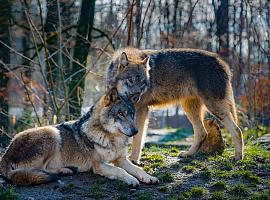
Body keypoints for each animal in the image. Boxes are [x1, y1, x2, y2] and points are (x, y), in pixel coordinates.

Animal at [0, 88, 158, 186]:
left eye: (132, 114)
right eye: (120, 113)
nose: (136, 131)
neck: (111, 138)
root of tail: (5, 155)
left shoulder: (121, 159)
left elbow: (137, 169)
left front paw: (148, 177)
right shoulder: (99, 165)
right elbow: (120, 170)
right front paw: (131, 180)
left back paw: (66, 170)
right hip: (52, 132)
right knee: (41, 170)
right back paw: (64, 171)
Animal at [106, 47, 244, 163]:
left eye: (143, 83)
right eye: (130, 80)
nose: (136, 98)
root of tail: (223, 62)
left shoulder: (142, 110)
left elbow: (138, 137)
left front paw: (134, 159)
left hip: (214, 107)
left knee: (237, 130)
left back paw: (238, 156)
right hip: (190, 108)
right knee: (202, 132)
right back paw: (188, 154)